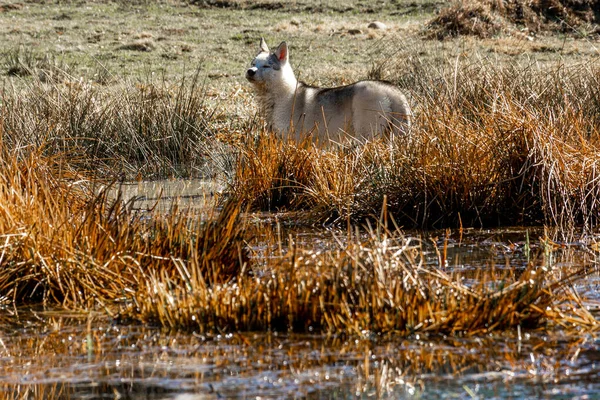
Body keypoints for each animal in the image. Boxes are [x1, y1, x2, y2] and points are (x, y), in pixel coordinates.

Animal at [246, 38, 410, 144]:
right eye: (253, 63)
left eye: (266, 66)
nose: (250, 71)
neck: (281, 97)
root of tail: (393, 90)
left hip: (366, 137)